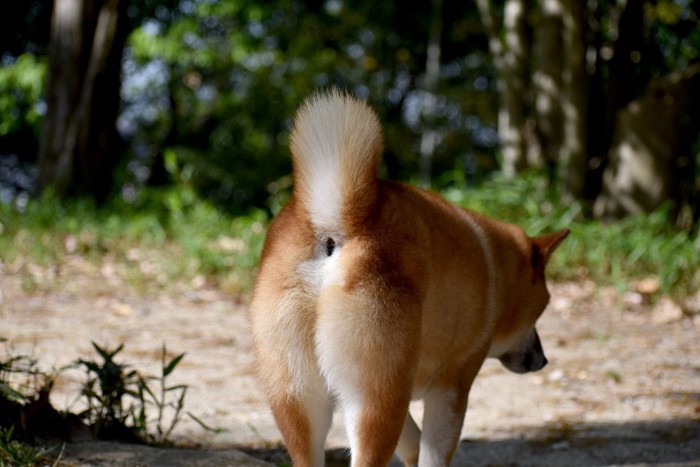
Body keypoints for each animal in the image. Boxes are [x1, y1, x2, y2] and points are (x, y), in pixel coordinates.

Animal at [250, 89, 568, 466]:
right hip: (375, 403)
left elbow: (413, 445)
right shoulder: (452, 386)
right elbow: (434, 453)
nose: (544, 359)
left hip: (301, 401)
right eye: (540, 312)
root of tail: (337, 224)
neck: (495, 270)